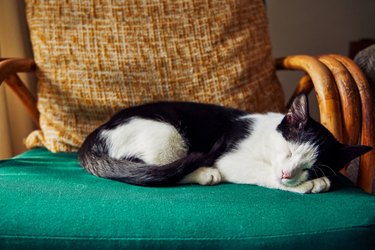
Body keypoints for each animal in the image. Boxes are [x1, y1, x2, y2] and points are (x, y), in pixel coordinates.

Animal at [78, 94, 372, 193]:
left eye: (311, 167)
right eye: (289, 151)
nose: (288, 174)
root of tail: (93, 137)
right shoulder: (229, 158)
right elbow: (264, 173)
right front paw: (306, 186)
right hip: (167, 132)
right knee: (160, 172)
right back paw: (205, 173)